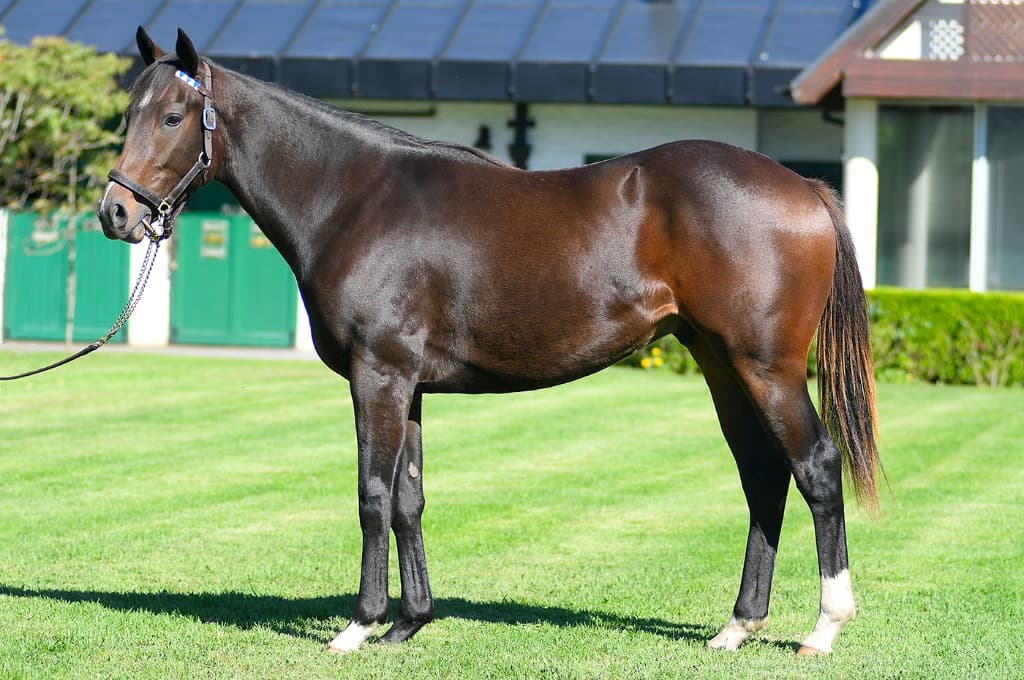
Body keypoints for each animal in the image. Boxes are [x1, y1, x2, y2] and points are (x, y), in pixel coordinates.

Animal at [97, 27, 880, 656]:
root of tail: (805, 187)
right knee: (763, 476)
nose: (115, 213)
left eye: (173, 115)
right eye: (128, 114)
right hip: (721, 365)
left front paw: (359, 625)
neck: (353, 198)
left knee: (815, 466)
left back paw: (824, 628)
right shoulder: (408, 385)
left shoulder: (377, 376)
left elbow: (372, 494)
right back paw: (737, 628)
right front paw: (409, 623)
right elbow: (409, 499)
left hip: (767, 368)